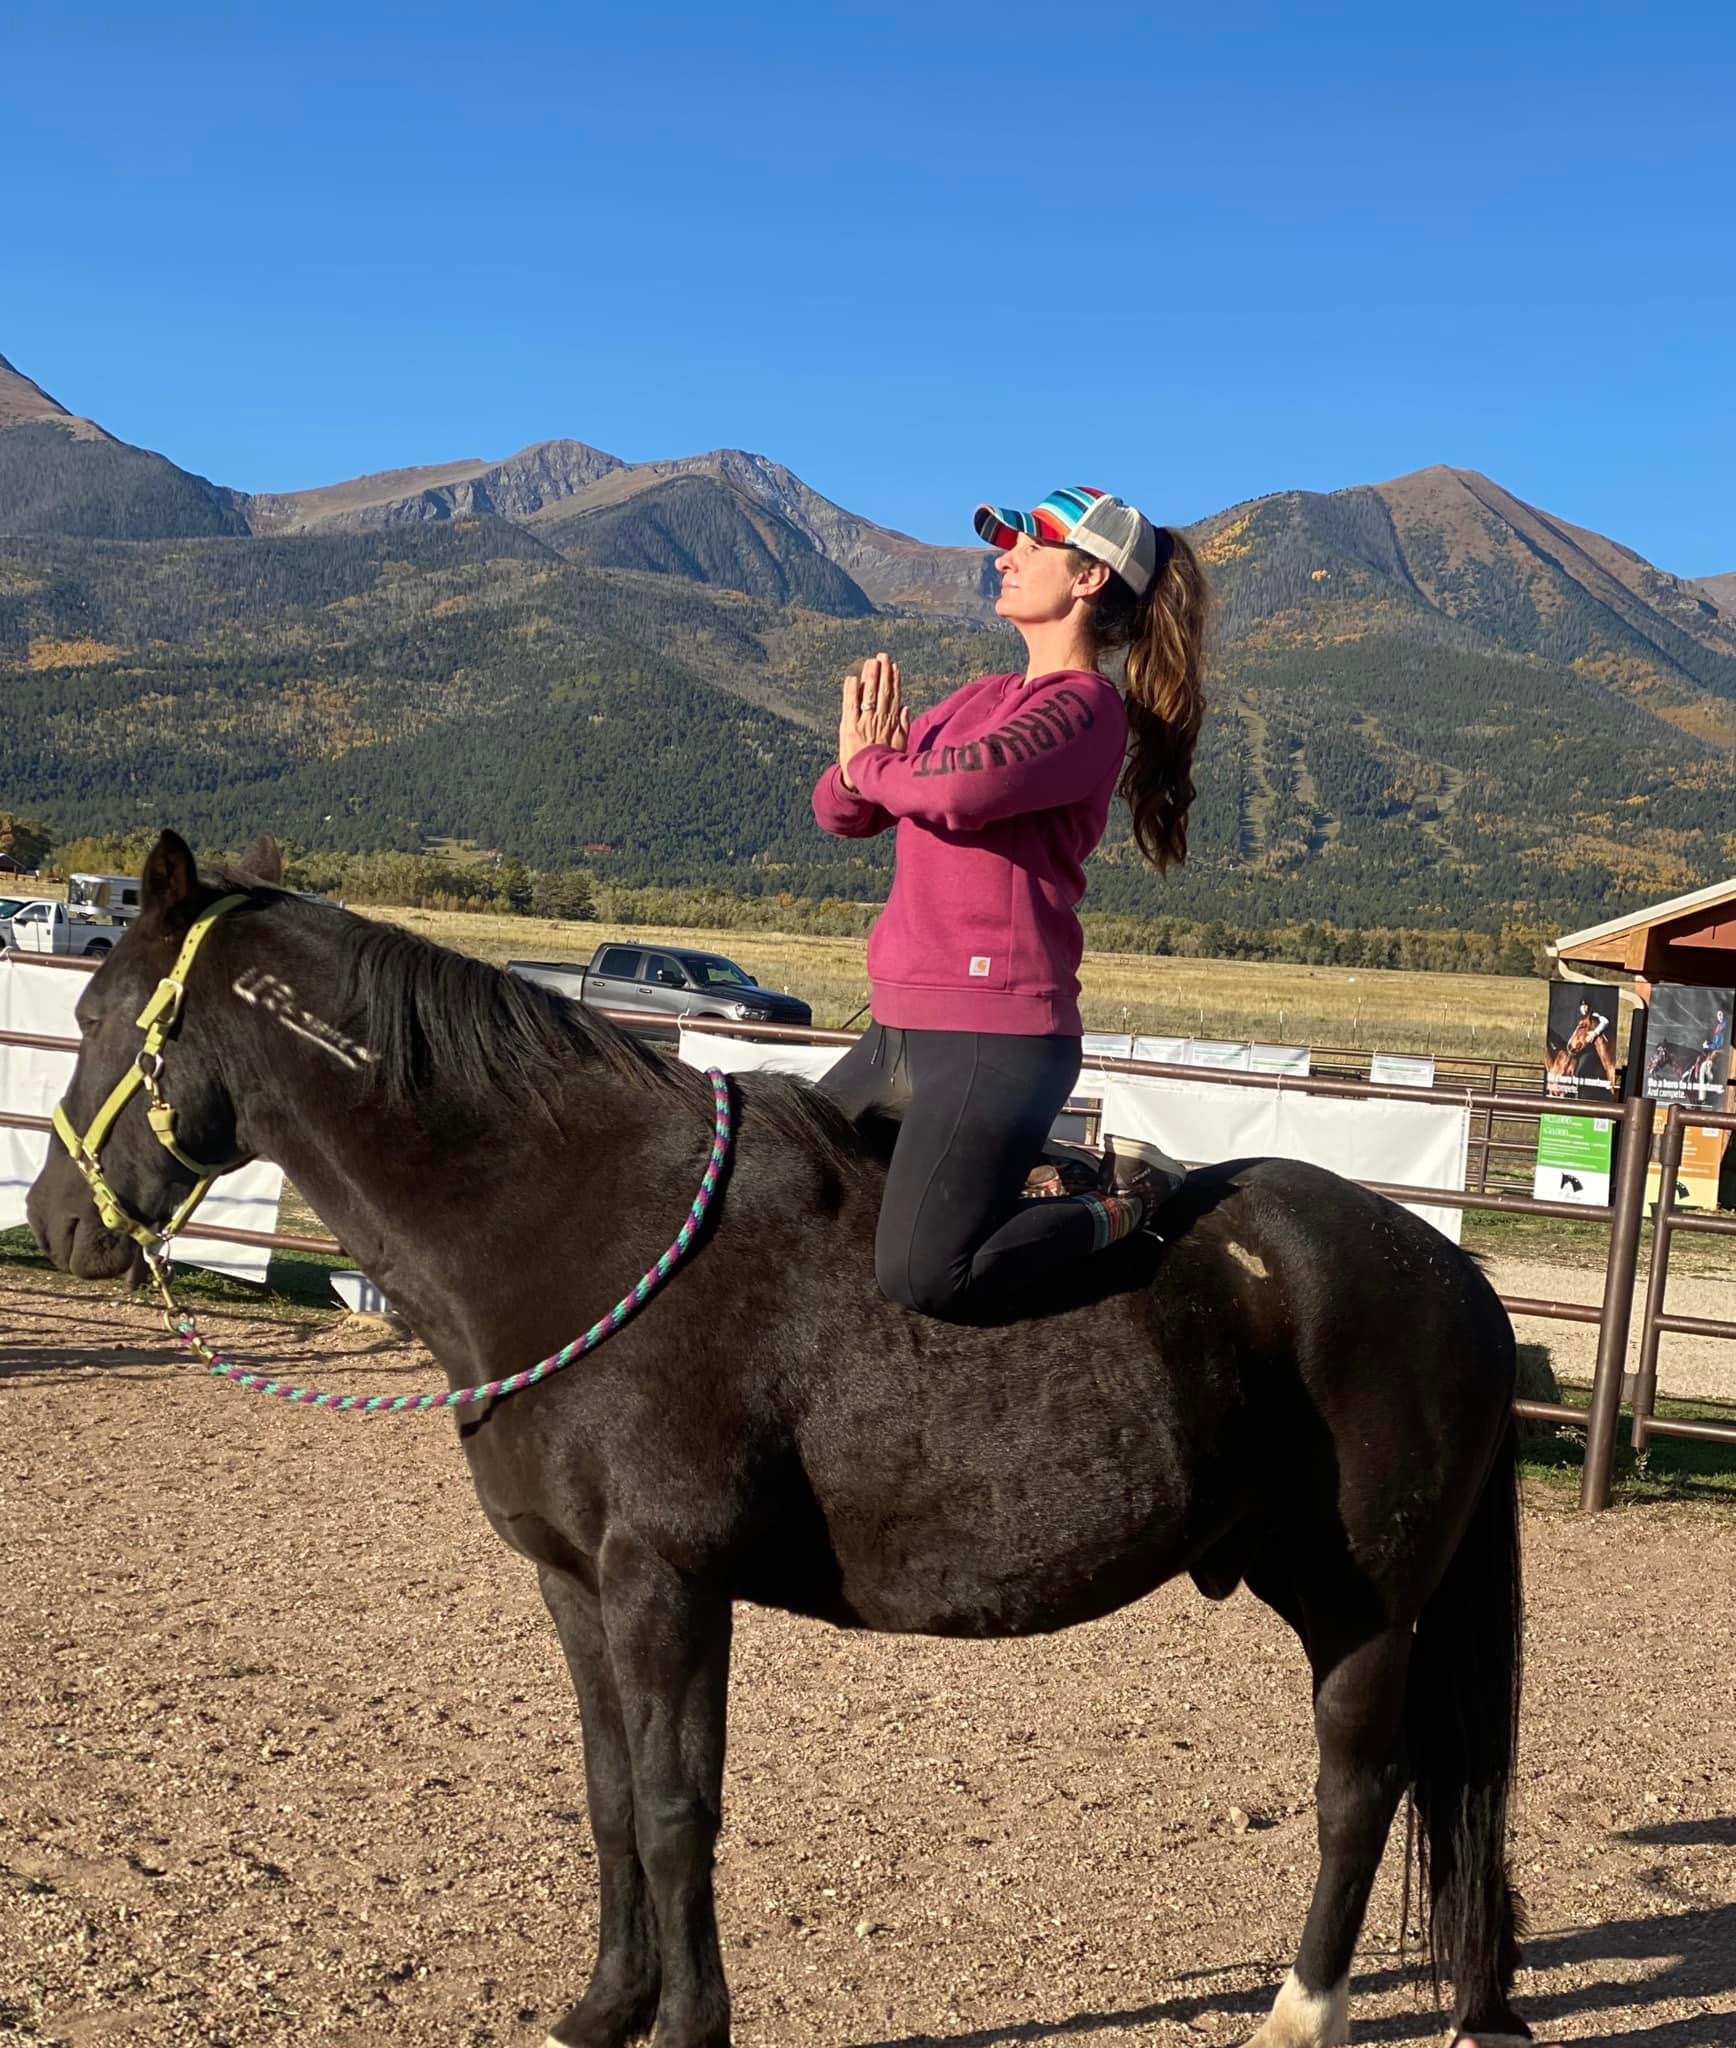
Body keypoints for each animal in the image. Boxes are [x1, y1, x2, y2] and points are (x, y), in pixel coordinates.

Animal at [27, 832, 1530, 2048]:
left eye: (101, 1009)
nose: (56, 1219)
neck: (578, 1224)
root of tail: (1442, 1267)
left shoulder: (668, 1585)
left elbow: (679, 1808)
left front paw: (690, 2023)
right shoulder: (573, 1586)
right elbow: (611, 1798)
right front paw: (607, 2007)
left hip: (1363, 1609)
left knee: (1358, 1790)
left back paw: (1301, 2011)